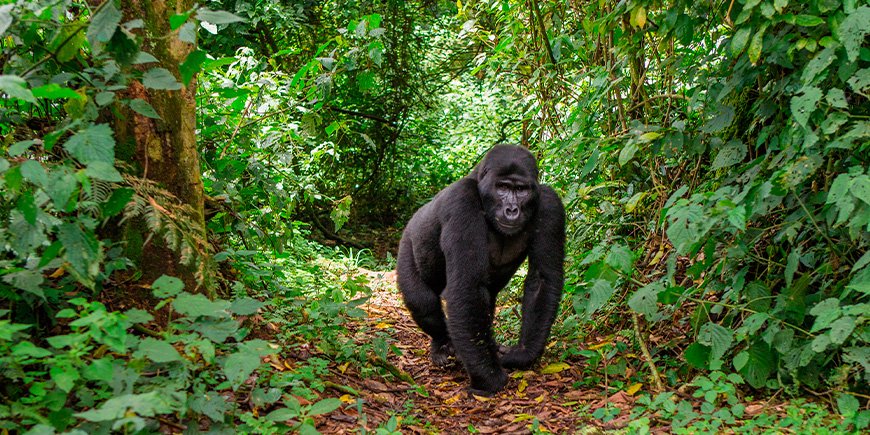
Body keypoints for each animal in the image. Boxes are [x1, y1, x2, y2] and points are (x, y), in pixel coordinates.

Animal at [398, 145, 568, 396]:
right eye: (502, 187)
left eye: (521, 190)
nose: (511, 210)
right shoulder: (461, 200)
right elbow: (466, 286)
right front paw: (489, 378)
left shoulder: (550, 204)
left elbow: (542, 280)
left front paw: (522, 354)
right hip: (407, 242)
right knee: (422, 301)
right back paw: (442, 345)